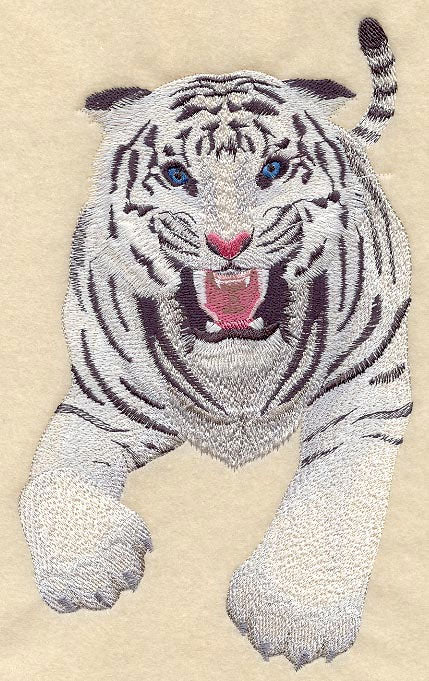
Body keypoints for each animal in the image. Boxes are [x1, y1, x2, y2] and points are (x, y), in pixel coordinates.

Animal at [20, 17, 412, 668]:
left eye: (272, 170)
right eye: (179, 176)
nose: (228, 244)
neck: (238, 362)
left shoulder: (364, 398)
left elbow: (335, 497)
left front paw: (294, 613)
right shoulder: (100, 409)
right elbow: (49, 479)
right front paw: (91, 569)